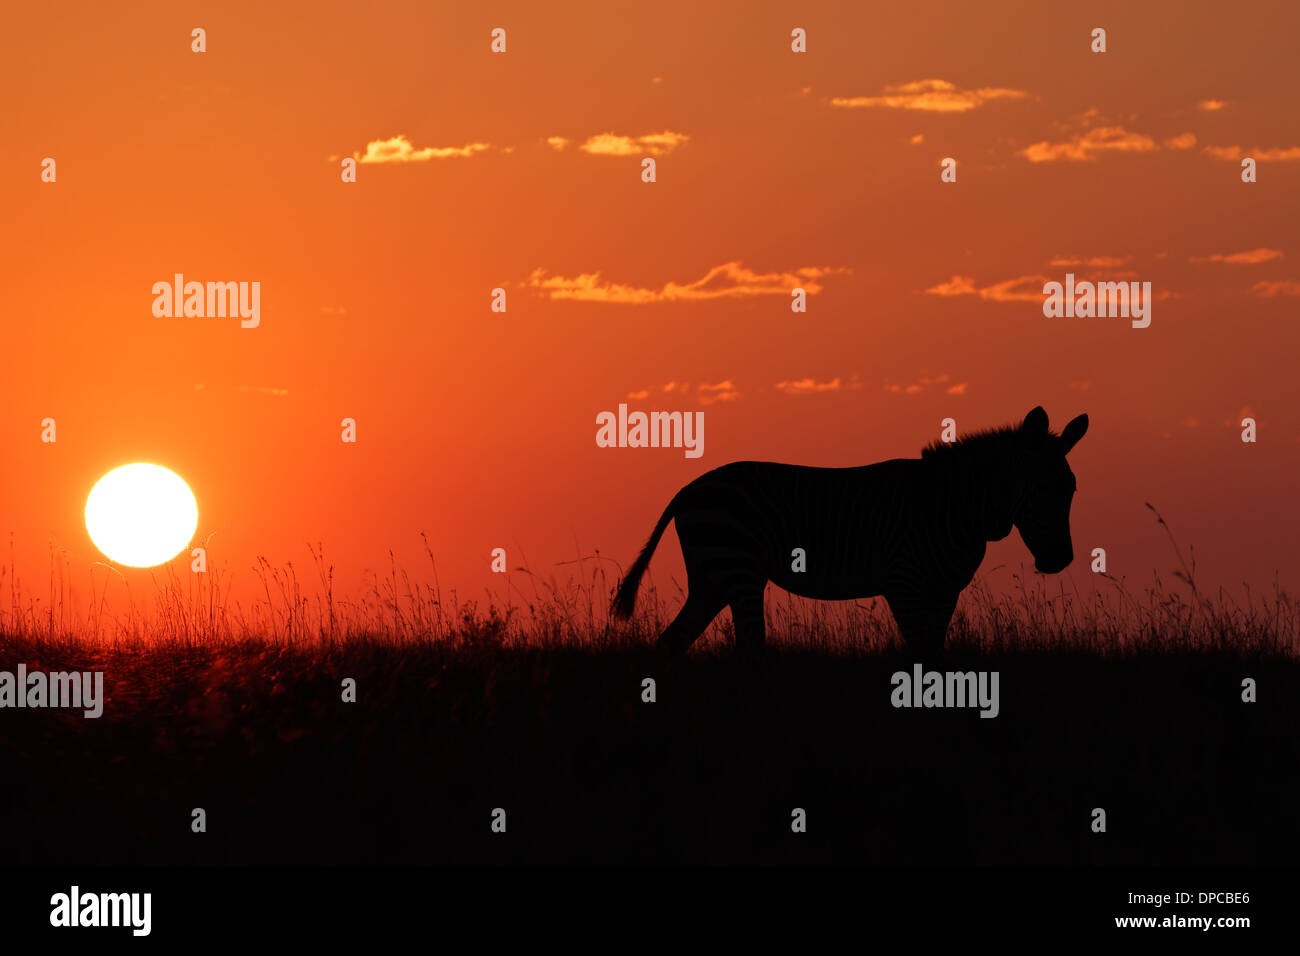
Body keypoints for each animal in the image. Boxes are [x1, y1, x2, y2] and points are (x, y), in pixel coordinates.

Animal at [608, 403, 1086, 658]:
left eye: (1071, 489)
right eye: (1039, 488)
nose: (1060, 560)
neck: (955, 504)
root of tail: (689, 489)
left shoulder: (945, 590)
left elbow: (935, 652)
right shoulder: (904, 583)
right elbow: (920, 653)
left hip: (712, 578)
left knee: (672, 642)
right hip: (738, 569)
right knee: (747, 646)